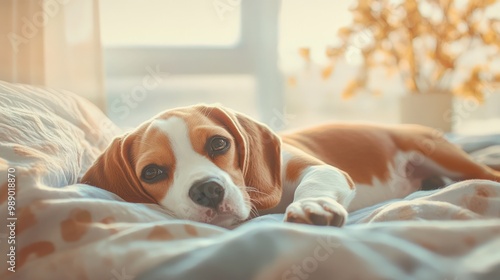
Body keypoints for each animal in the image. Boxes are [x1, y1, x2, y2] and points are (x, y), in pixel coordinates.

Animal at [82, 105, 500, 228]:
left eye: (219, 143)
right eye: (152, 172)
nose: (208, 190)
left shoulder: (321, 170)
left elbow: (311, 185)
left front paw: (311, 206)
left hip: (447, 156)